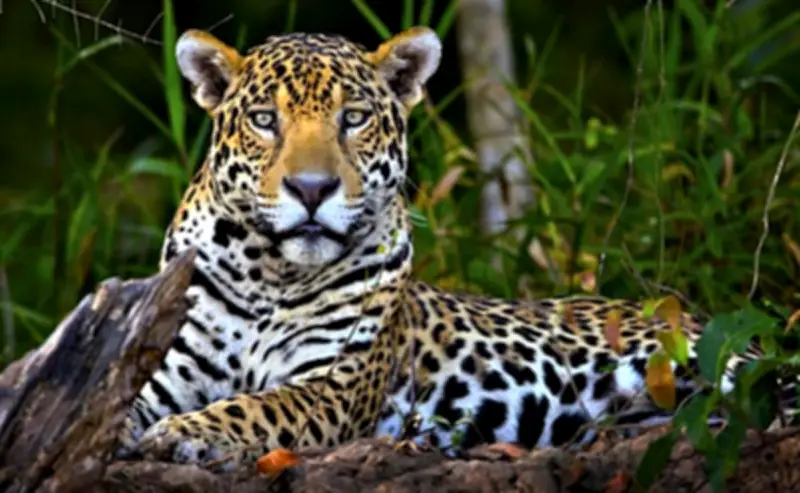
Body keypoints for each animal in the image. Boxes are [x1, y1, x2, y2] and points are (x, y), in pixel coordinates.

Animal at [117, 26, 792, 469]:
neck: (270, 274)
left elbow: (256, 407)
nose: (311, 188)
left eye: (354, 119)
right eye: (263, 120)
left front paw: (184, 433)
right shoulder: (160, 367)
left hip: (718, 359)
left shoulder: (334, 383)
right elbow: (123, 402)